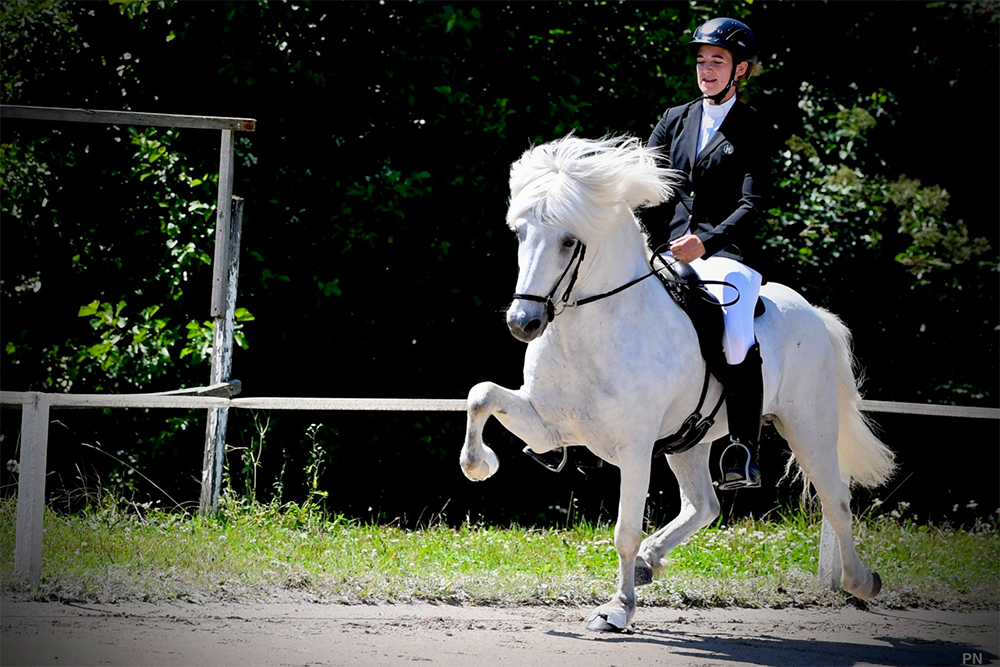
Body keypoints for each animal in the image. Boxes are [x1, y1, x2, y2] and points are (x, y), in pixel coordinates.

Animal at [460, 134, 900, 632]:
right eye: (520, 234)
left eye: (570, 240)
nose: (524, 323)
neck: (592, 329)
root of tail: (813, 312)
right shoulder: (547, 426)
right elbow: (481, 395)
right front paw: (479, 465)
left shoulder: (634, 446)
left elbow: (625, 531)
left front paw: (617, 609)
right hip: (689, 440)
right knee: (704, 505)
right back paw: (651, 561)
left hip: (810, 426)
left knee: (836, 500)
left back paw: (860, 581)